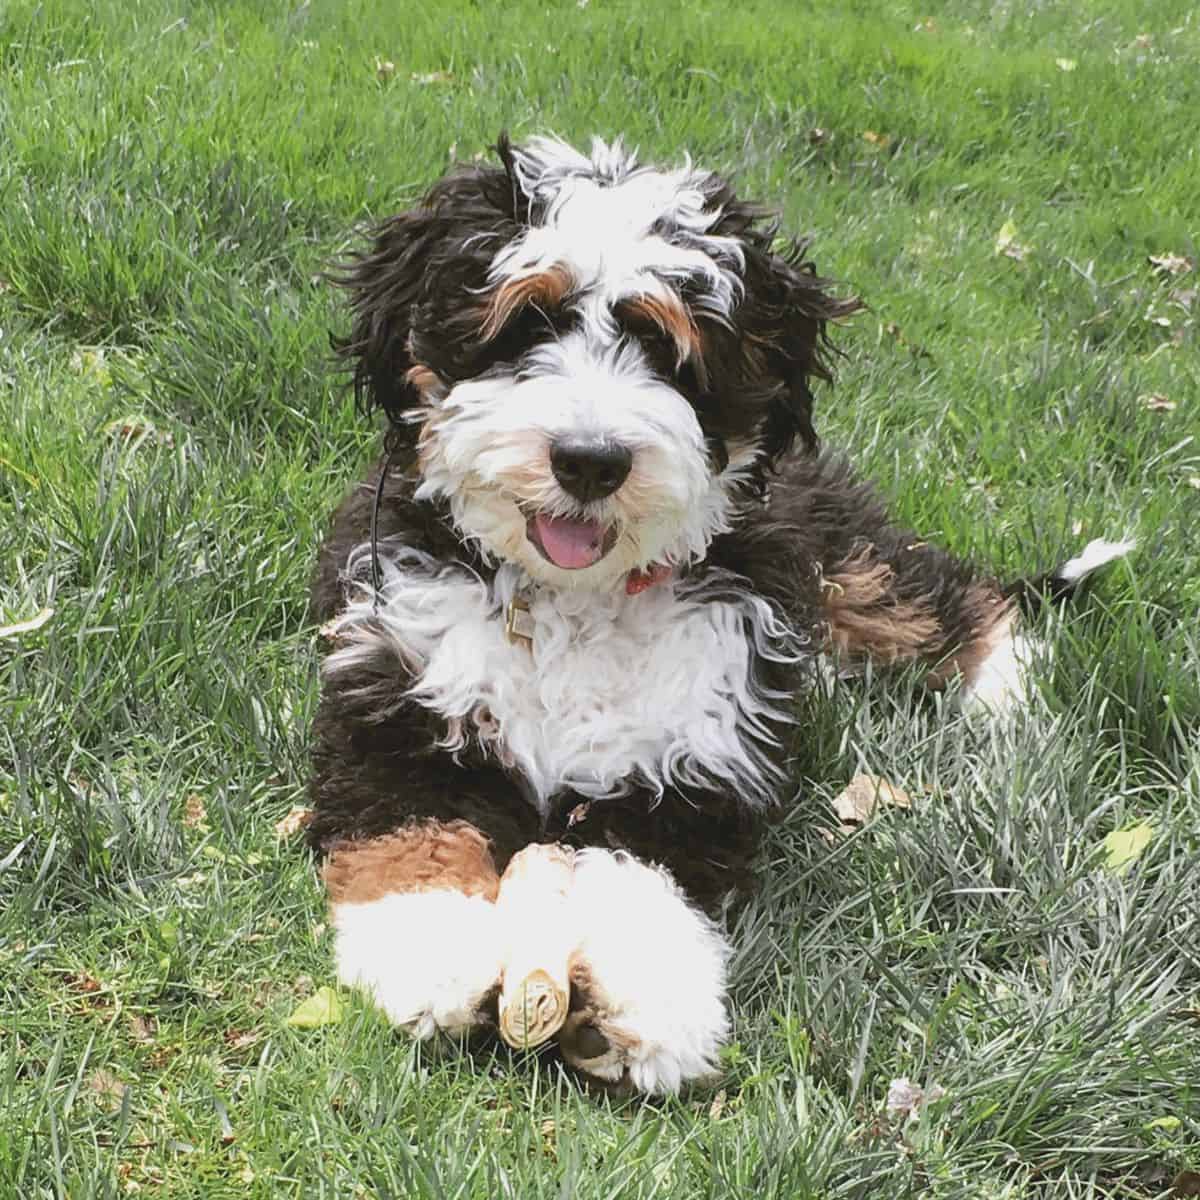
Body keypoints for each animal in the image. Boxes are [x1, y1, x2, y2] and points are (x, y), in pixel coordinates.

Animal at [304, 133, 1128, 1099]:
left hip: (840, 556)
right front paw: (430, 953)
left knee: (944, 594)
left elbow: (645, 877)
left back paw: (1005, 694)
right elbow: (414, 834)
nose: (590, 460)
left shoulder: (699, 755)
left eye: (669, 347)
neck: (575, 601)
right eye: (527, 323)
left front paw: (644, 1004)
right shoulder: (397, 694)